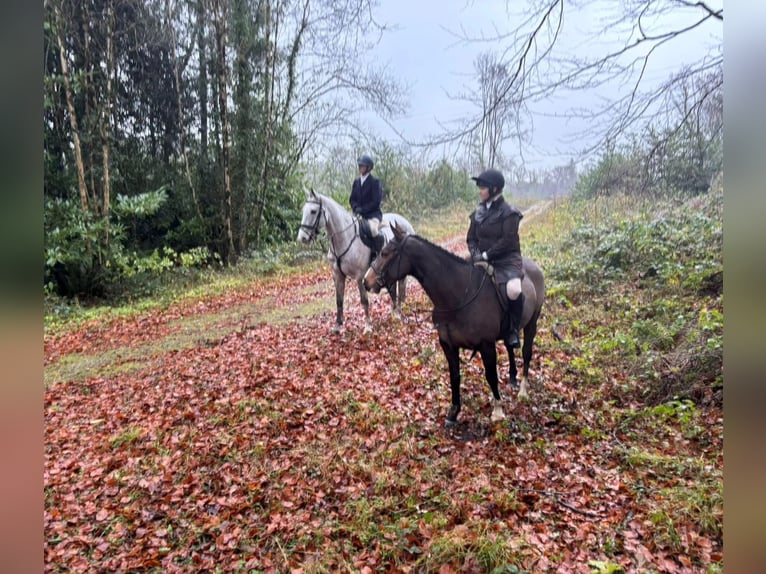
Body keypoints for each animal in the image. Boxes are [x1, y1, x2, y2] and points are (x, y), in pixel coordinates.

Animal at [297, 189, 415, 334]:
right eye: (304, 210)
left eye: (313, 211)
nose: (302, 237)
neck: (345, 238)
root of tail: (404, 221)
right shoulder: (338, 275)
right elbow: (339, 300)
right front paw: (337, 325)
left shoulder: (360, 277)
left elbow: (364, 300)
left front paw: (368, 327)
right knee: (394, 289)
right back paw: (394, 312)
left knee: (400, 289)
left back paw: (398, 313)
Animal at [363, 224, 545, 427]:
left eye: (385, 253)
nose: (366, 281)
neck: (457, 296)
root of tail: (533, 267)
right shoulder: (448, 345)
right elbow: (455, 376)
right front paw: (454, 412)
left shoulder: (486, 345)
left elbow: (491, 375)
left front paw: (498, 411)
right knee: (509, 346)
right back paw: (512, 378)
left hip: (532, 323)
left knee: (527, 353)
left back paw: (523, 390)